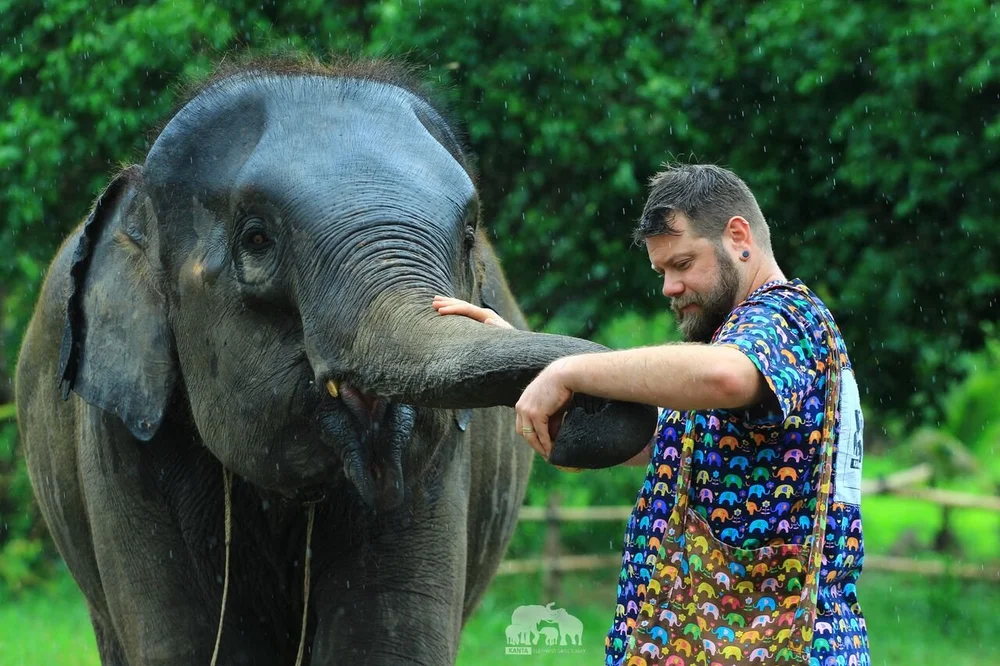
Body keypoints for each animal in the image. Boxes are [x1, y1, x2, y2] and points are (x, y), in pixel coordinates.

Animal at [15, 57, 657, 665]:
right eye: (256, 239)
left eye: (468, 236)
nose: (570, 413)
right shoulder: (122, 440)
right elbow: (191, 649)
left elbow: (385, 645)